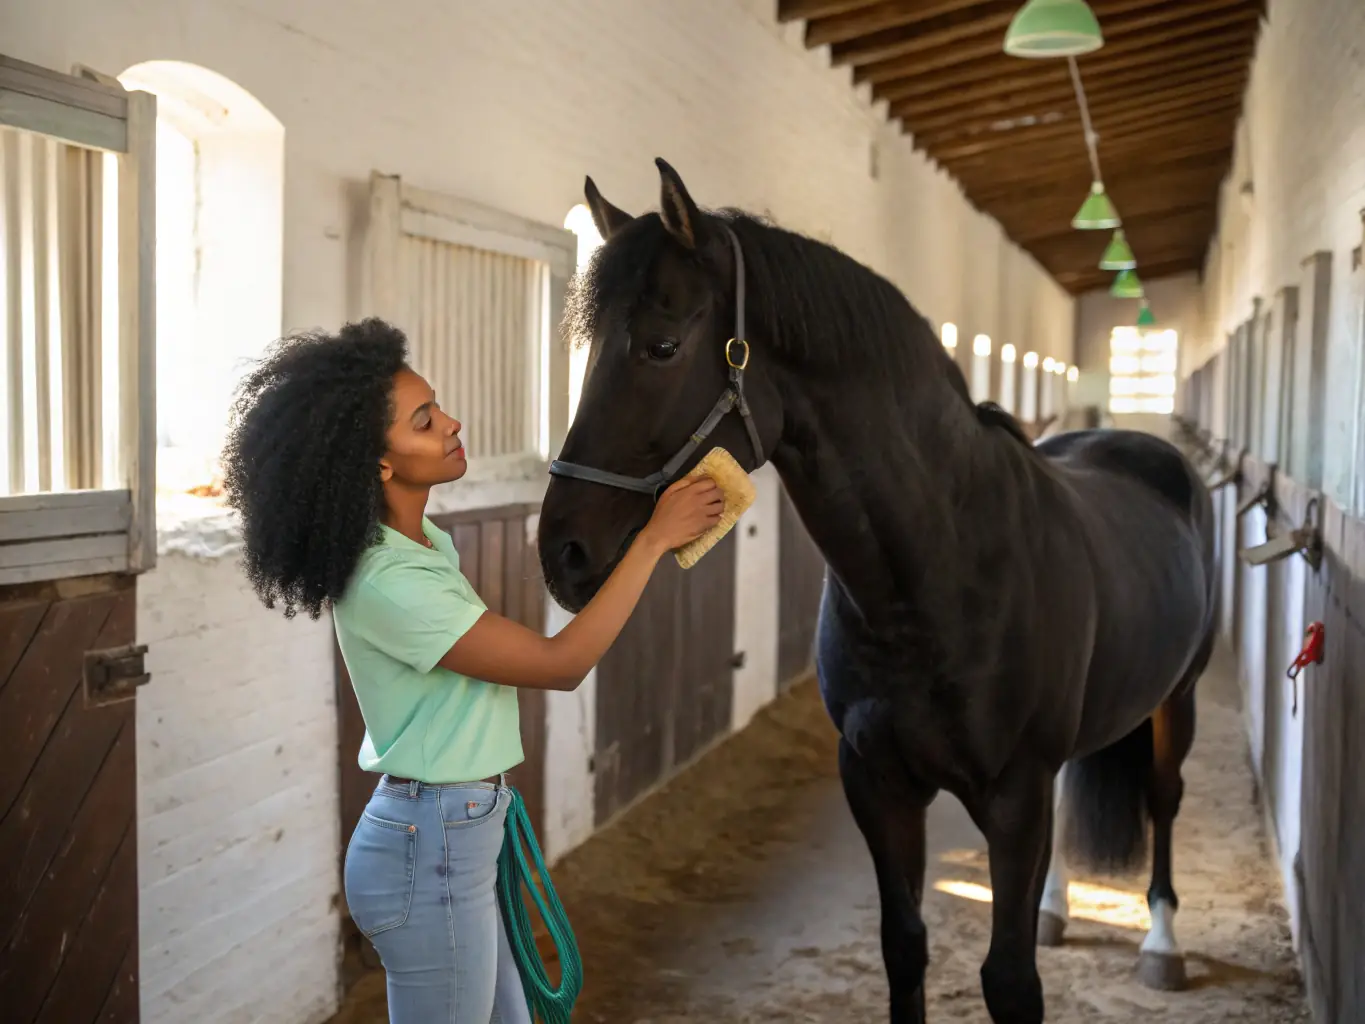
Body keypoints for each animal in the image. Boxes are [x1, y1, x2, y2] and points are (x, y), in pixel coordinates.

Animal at [536, 158, 1216, 1024]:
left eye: (662, 347)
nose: (561, 552)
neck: (933, 583)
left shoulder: (1014, 799)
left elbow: (1010, 979)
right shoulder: (877, 782)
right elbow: (904, 948)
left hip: (1176, 701)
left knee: (1163, 798)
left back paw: (1160, 942)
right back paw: (1059, 908)